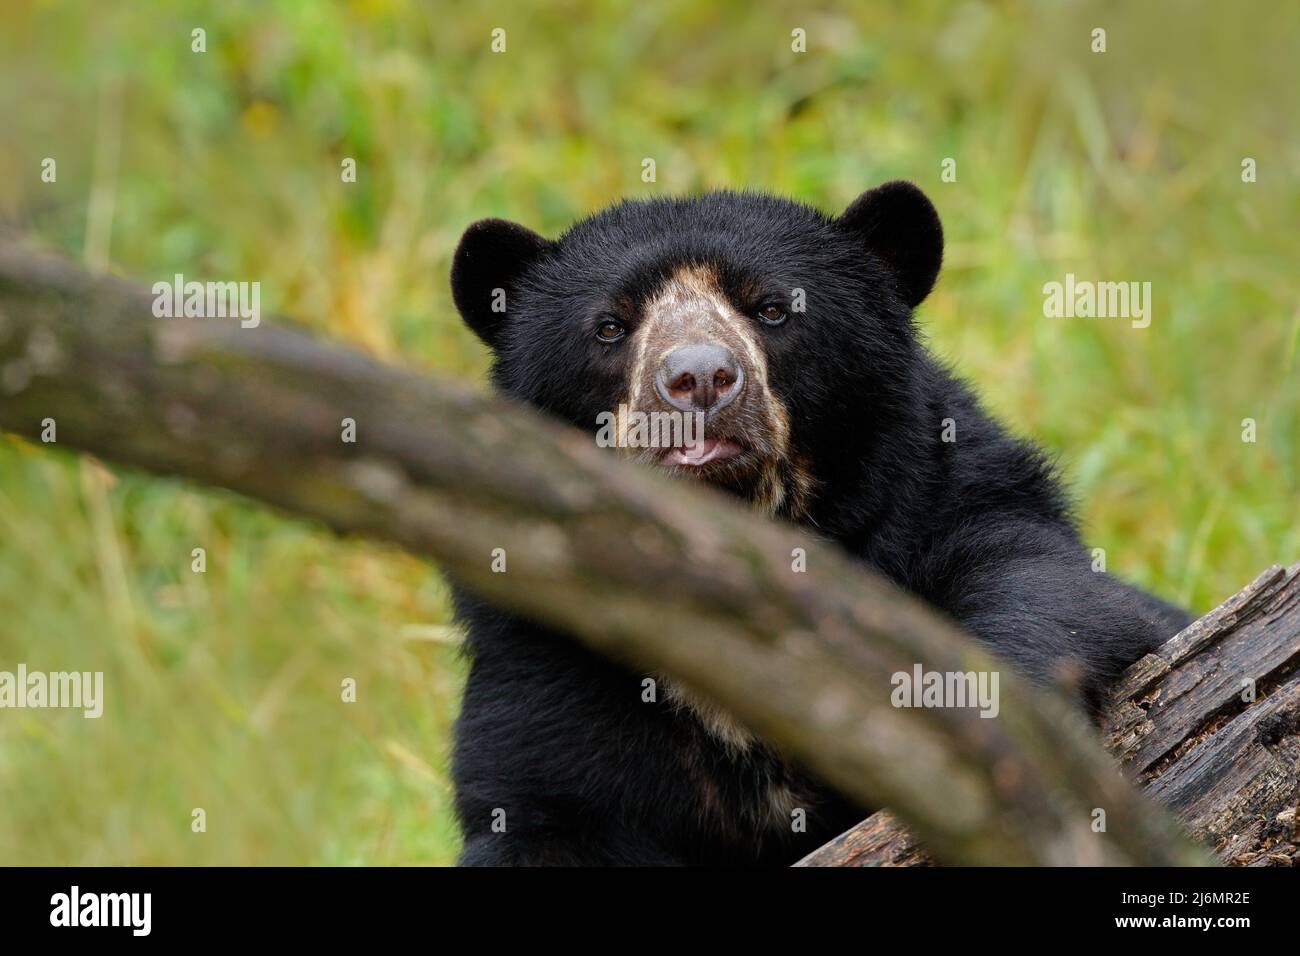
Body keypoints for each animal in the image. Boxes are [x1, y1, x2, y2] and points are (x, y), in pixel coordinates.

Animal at [444, 179, 1190, 868]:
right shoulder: (548, 661)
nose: (700, 379)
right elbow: (543, 804)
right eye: (609, 327)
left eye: (773, 309)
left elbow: (1037, 591)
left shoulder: (950, 506)